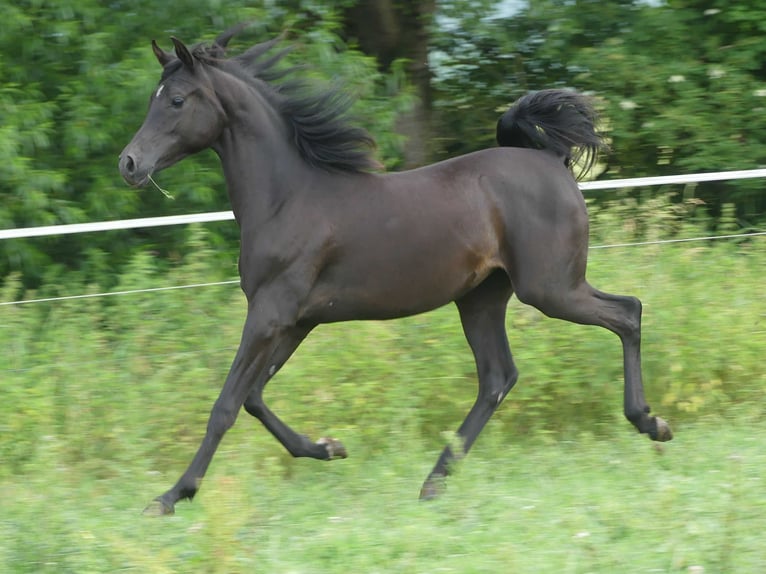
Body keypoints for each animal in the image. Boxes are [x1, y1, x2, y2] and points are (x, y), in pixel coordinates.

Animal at [118, 25, 672, 516]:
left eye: (176, 101)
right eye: (152, 98)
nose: (129, 164)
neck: (287, 198)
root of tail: (554, 161)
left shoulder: (271, 312)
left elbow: (226, 405)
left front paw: (170, 497)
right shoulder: (295, 320)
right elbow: (253, 397)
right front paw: (328, 447)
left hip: (551, 288)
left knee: (628, 312)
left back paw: (650, 422)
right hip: (482, 298)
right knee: (498, 376)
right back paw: (434, 482)